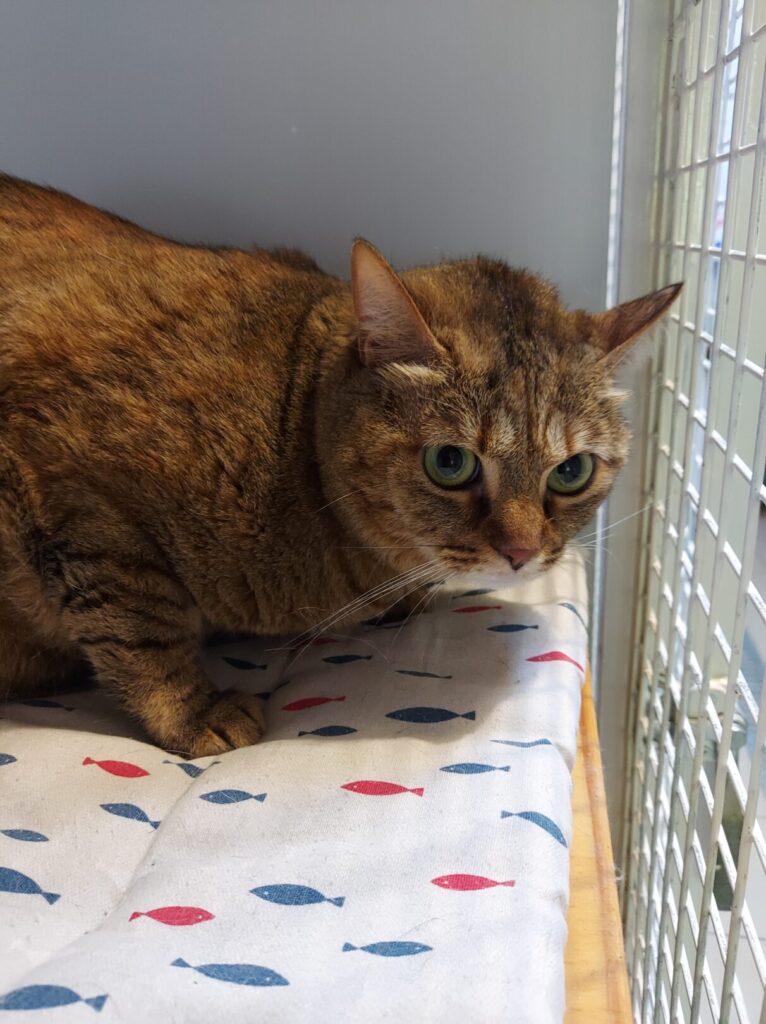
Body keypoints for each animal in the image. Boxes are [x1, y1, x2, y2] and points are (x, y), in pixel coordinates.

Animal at [0, 173, 680, 756]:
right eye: (450, 462)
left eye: (571, 472)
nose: (521, 552)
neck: (290, 432)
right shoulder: (73, 487)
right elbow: (139, 624)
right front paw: (190, 711)